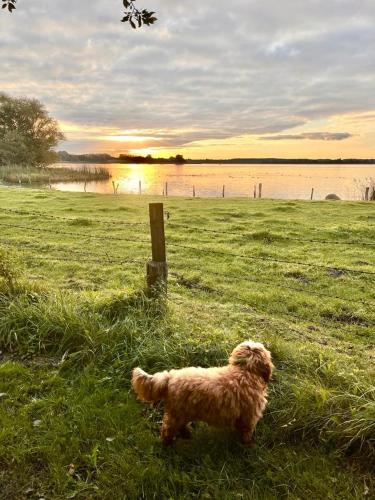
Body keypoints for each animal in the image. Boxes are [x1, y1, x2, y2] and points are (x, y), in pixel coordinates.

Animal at [132, 342, 274, 444]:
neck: (244, 371)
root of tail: (170, 377)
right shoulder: (249, 416)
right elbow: (246, 432)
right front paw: (247, 444)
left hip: (182, 413)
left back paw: (187, 434)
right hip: (177, 415)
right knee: (167, 430)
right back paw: (168, 444)